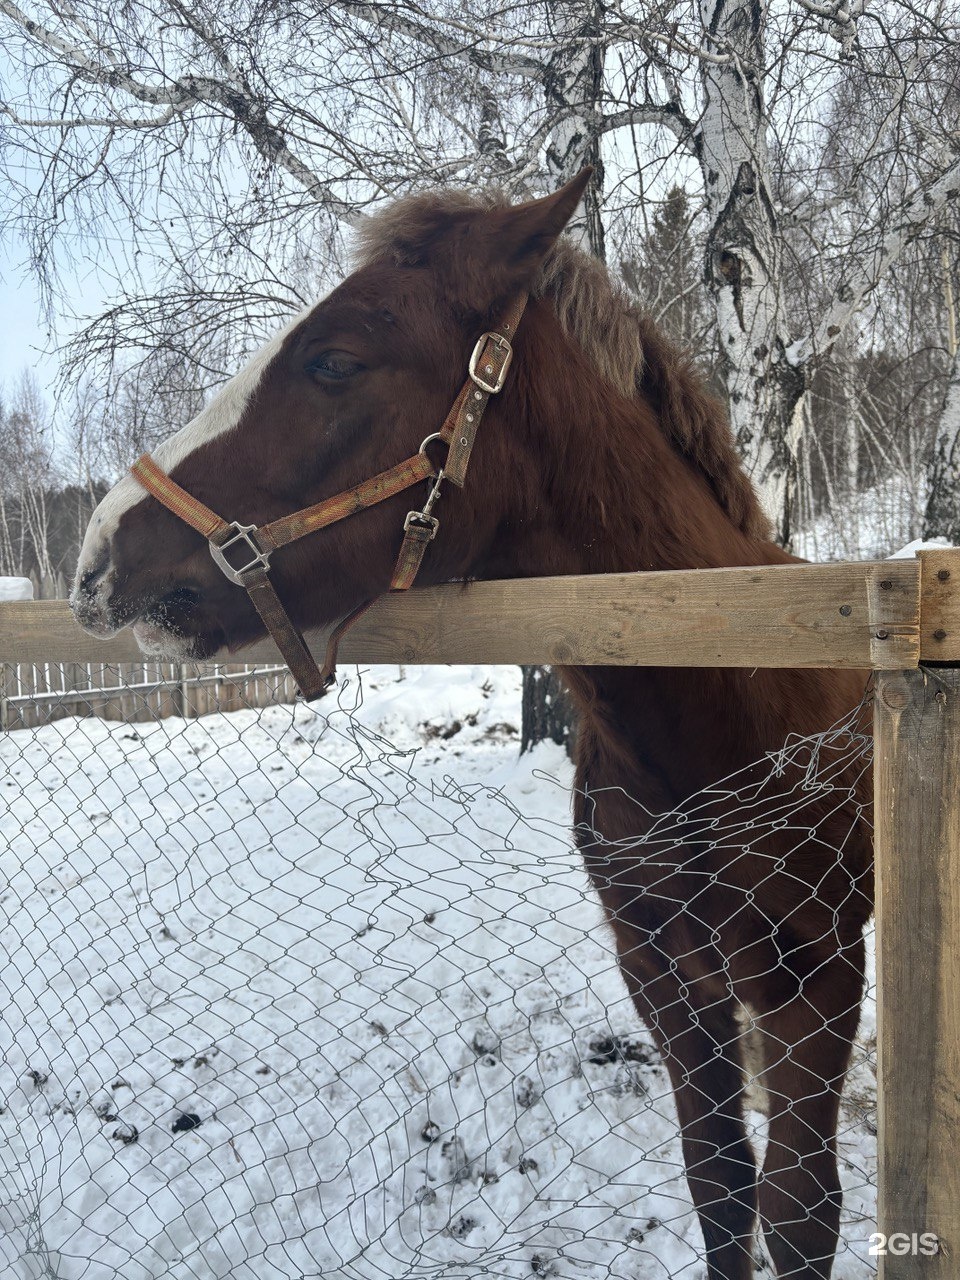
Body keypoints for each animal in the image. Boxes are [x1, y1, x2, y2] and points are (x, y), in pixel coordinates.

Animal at [71, 172, 875, 1280]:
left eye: (333, 359)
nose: (97, 553)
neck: (727, 713)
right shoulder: (668, 983)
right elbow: (720, 1189)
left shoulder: (817, 990)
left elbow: (799, 1214)